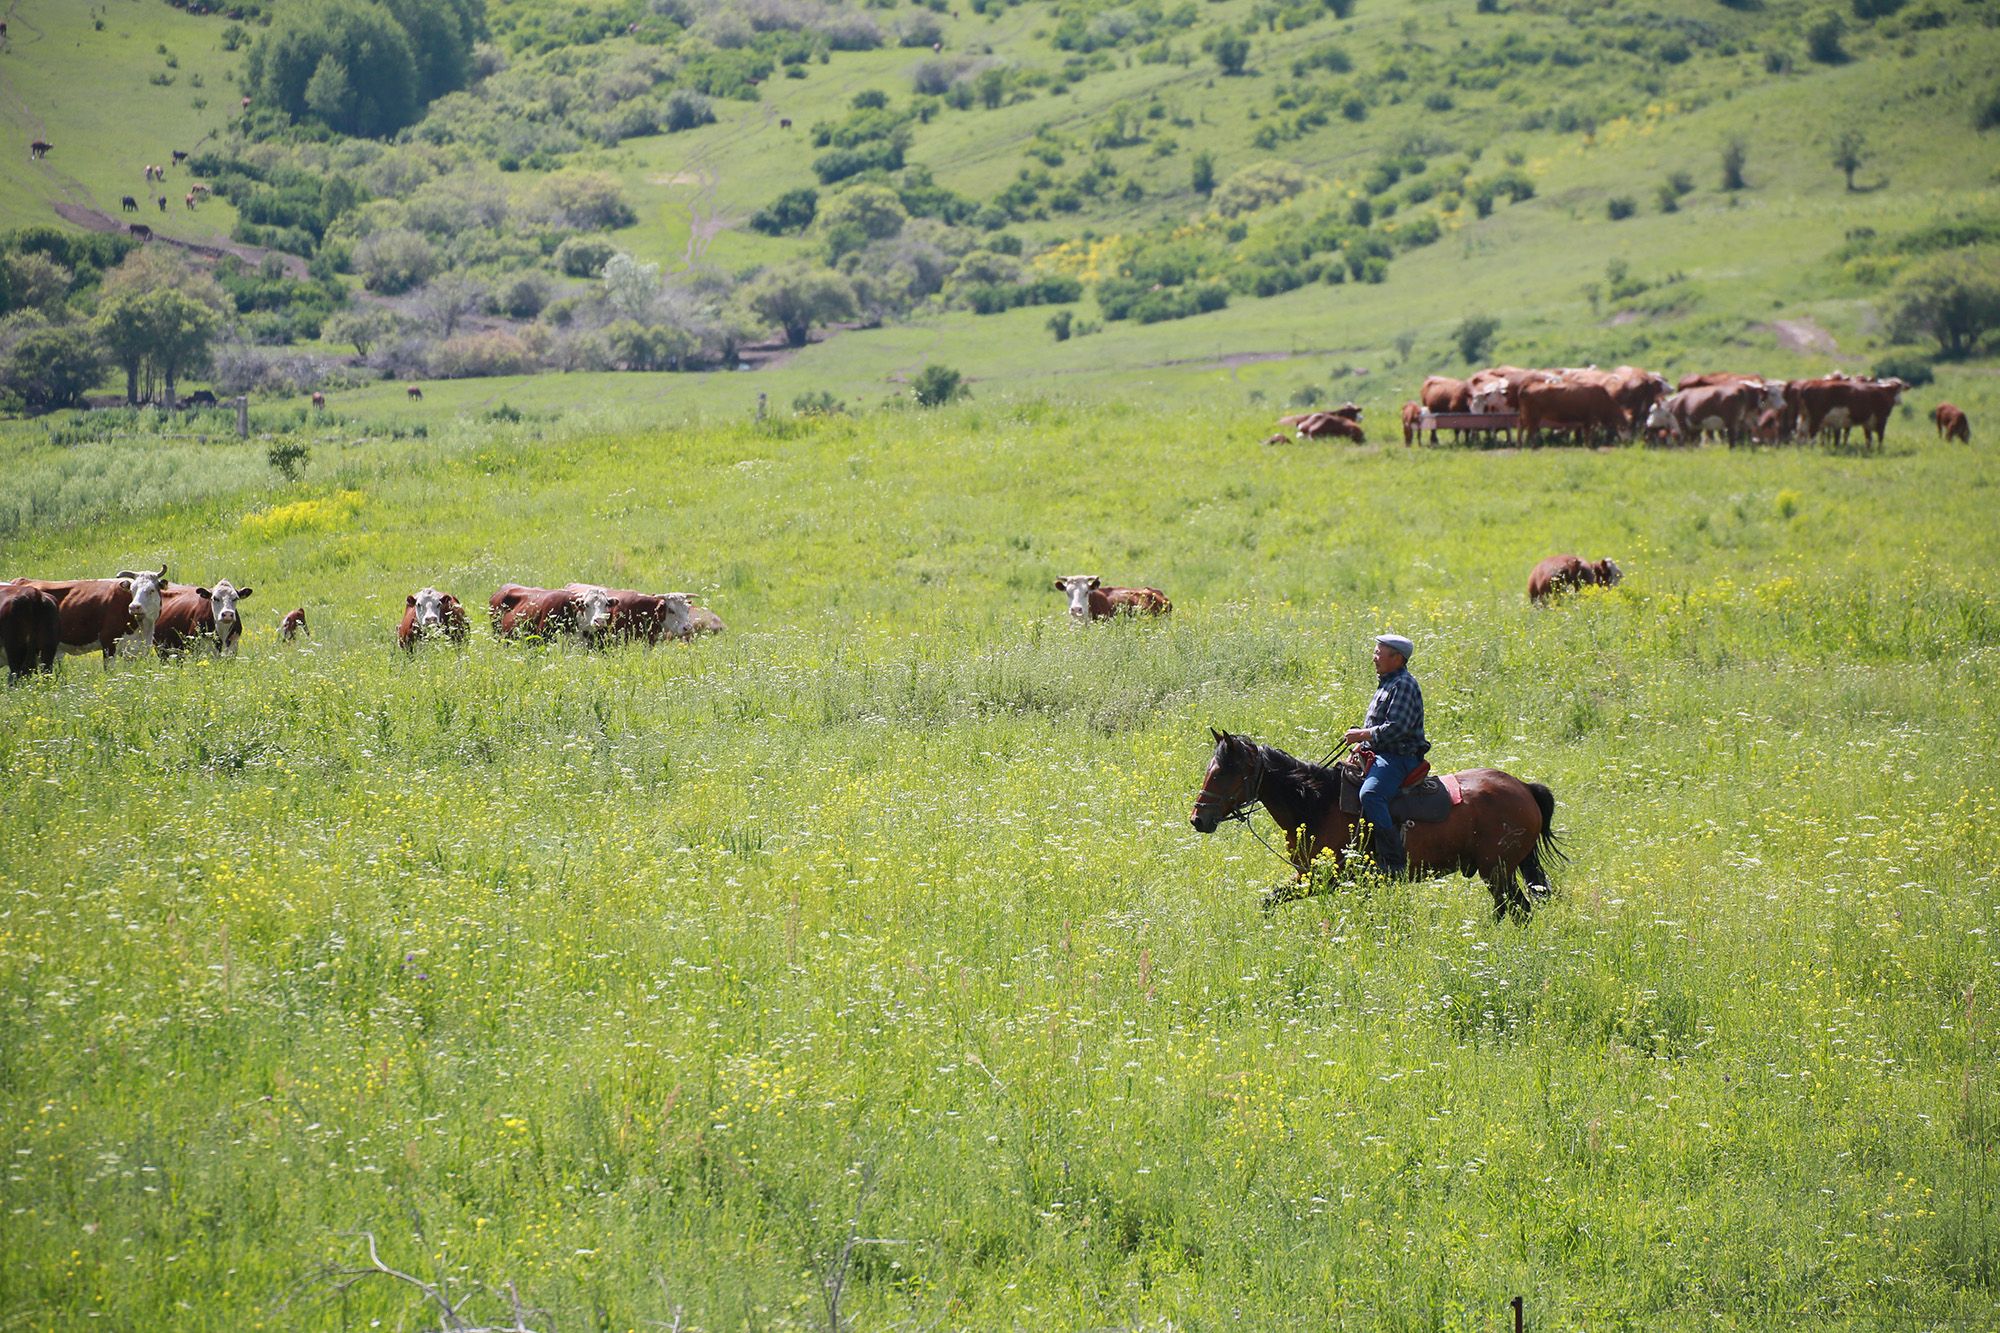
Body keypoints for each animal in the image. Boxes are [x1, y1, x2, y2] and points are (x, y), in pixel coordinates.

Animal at [6, 564, 168, 660]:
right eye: (132, 590)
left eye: (151, 590)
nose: (134, 607)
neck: (143, 628)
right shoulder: (108, 642)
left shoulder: (135, 649)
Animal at [1184, 720, 1560, 920]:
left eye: (1223, 773)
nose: (1198, 818)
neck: (1316, 804)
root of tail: (1524, 788)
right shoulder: (1307, 875)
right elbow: (1269, 900)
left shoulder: (1324, 878)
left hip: (1497, 871)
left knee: (1517, 910)